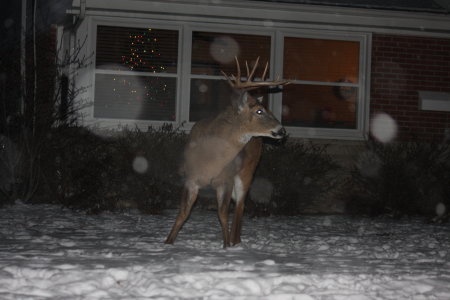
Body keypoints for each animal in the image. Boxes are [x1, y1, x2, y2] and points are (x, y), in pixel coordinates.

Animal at [165, 56, 288, 248]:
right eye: (259, 110)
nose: (282, 130)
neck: (210, 160)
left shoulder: (226, 179)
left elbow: (222, 214)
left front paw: (226, 245)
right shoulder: (190, 178)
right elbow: (183, 213)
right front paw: (167, 243)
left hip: (247, 171)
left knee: (240, 205)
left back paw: (235, 241)